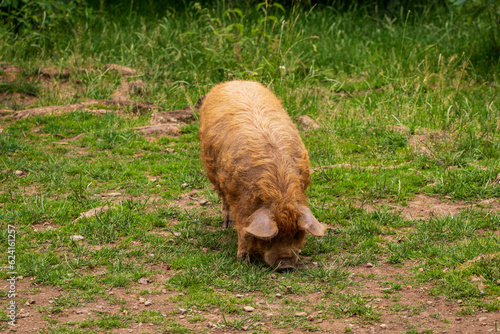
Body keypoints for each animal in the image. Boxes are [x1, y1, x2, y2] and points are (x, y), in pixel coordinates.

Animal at [199, 81, 328, 272]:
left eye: (297, 234)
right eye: (270, 238)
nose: (285, 265)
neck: (279, 194)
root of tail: (235, 81)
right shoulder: (240, 200)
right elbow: (243, 230)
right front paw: (242, 260)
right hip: (212, 169)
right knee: (223, 199)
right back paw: (225, 225)